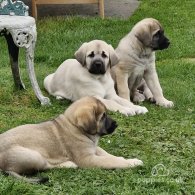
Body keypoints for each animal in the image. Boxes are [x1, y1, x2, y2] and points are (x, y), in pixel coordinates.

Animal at [0, 96, 143, 184]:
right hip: (34, 156)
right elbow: (110, 161)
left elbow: (108, 155)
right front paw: (132, 163)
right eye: (103, 116)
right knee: (45, 166)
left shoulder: (94, 147)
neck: (75, 127)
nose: (116, 124)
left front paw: (127, 159)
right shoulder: (87, 159)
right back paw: (68, 164)